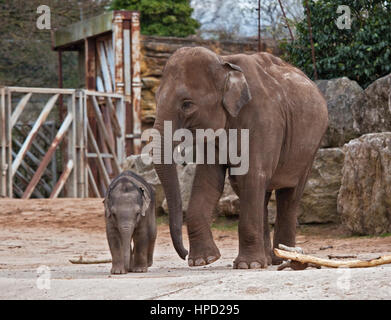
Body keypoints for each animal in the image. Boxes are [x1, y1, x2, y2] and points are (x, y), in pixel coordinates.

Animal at [152, 46, 328, 268]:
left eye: (187, 104)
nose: (183, 254)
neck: (225, 64)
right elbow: (209, 181)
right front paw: (203, 260)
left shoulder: (265, 121)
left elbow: (253, 175)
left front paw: (247, 265)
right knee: (257, 193)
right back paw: (269, 259)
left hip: (311, 147)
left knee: (289, 195)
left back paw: (284, 259)